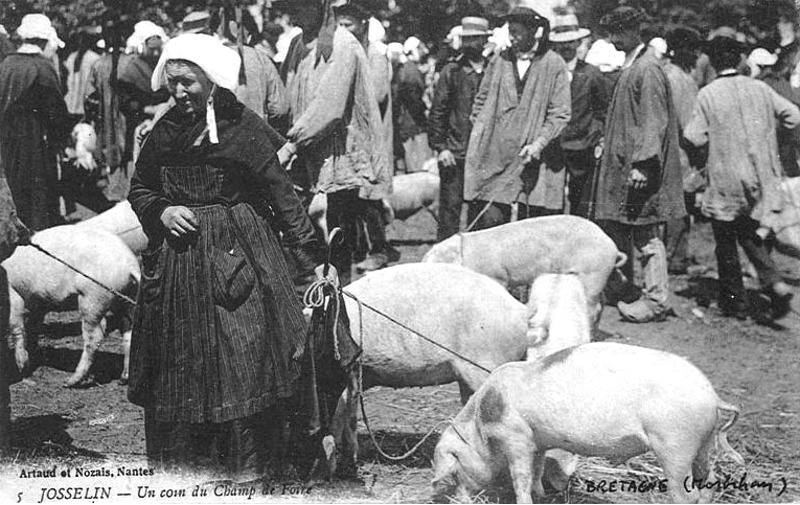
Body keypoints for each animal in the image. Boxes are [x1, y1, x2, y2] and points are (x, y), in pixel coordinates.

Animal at [4, 224, 141, 386]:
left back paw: (70, 382)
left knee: (94, 337)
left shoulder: (14, 292)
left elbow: (17, 327)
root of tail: (131, 265)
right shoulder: (38, 302)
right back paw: (123, 379)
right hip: (126, 299)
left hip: (93, 298)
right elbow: (32, 328)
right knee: (129, 333)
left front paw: (22, 367)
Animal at [422, 216, 628, 330]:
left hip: (593, 273)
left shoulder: (497, 275)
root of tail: (612, 246)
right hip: (596, 278)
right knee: (601, 304)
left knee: (594, 308)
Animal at [434, 340, 748, 502]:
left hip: (675, 443)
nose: (457, 500)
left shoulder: (517, 438)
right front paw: (542, 493)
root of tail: (711, 395)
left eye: (455, 470)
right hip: (703, 442)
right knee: (709, 481)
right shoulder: (538, 441)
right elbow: (537, 469)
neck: (481, 426)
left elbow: (520, 477)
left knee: (686, 492)